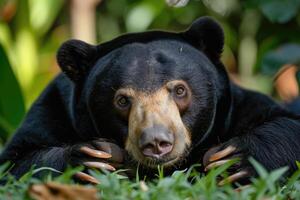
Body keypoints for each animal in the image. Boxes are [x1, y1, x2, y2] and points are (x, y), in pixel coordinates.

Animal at [0, 16, 300, 184]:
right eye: (122, 100)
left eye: (179, 90)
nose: (157, 143)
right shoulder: (54, 107)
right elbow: (17, 160)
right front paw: (92, 160)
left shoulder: (236, 107)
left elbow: (286, 124)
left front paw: (232, 159)